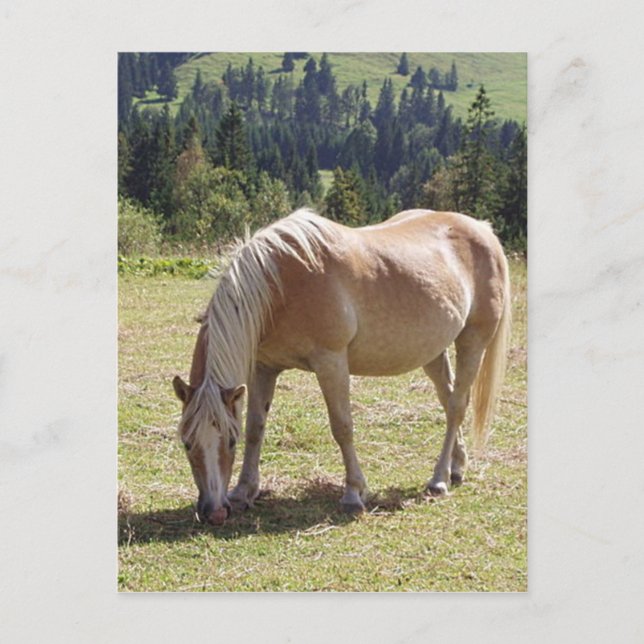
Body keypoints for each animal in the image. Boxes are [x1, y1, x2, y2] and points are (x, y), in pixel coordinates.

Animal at [172, 208, 511, 525]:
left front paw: (353, 494)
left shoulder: (331, 362)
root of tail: (483, 229)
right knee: (448, 398)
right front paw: (244, 492)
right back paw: (457, 468)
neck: (280, 284)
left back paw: (439, 479)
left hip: (473, 341)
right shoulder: (264, 368)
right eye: (187, 443)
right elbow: (256, 427)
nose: (215, 512)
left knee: (456, 405)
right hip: (433, 351)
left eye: (230, 441)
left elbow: (342, 427)